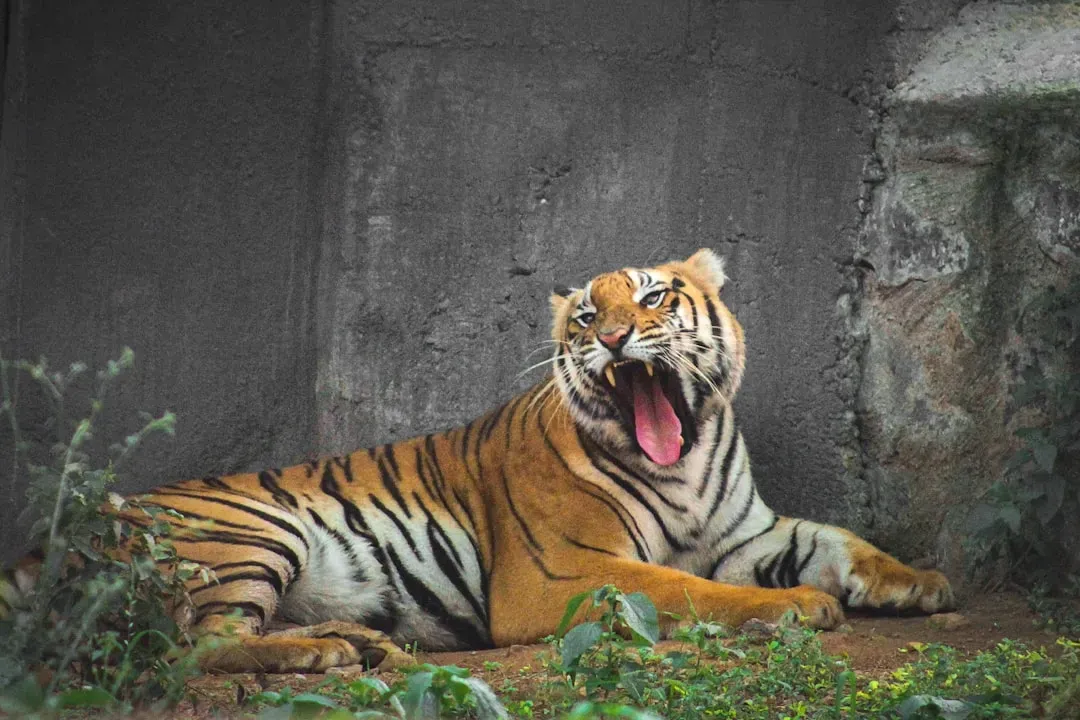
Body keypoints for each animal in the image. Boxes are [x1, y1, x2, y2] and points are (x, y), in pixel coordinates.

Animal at [2, 249, 954, 673]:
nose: (613, 337)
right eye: (585, 316)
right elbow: (687, 589)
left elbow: (836, 539)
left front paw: (918, 583)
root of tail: (68, 529)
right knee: (186, 646)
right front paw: (795, 608)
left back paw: (356, 642)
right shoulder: (564, 573)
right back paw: (324, 656)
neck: (681, 463)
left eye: (653, 297)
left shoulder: (746, 531)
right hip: (249, 533)